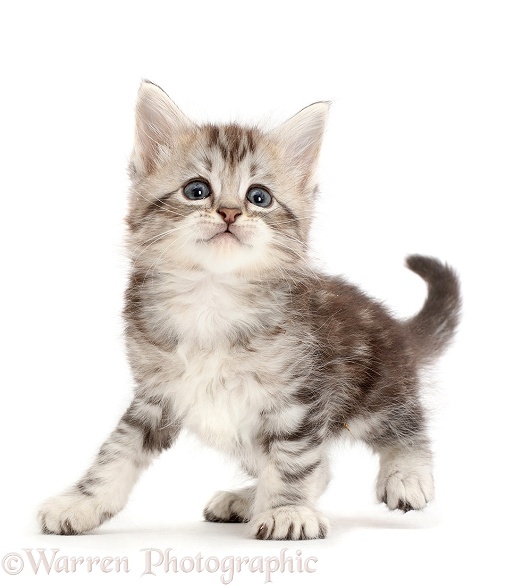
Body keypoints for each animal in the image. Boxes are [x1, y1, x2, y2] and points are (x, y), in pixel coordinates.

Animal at [39, 80, 460, 540]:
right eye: (197, 190)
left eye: (259, 197)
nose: (229, 212)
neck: (213, 296)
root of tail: (398, 330)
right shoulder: (154, 395)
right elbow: (116, 452)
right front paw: (83, 502)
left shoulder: (298, 397)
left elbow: (293, 459)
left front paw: (288, 511)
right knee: (322, 469)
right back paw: (245, 499)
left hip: (375, 387)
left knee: (404, 427)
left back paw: (406, 476)